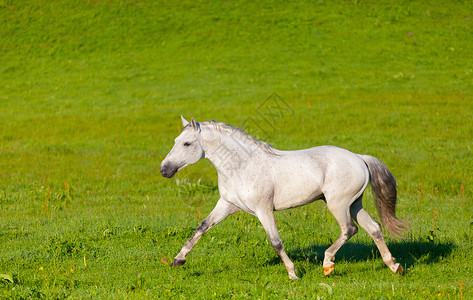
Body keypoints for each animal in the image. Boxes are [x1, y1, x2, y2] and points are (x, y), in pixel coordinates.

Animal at [161, 116, 406, 278]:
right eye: (175, 141)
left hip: (338, 204)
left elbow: (276, 242)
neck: (241, 166)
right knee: (374, 228)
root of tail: (359, 157)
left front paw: (293, 273)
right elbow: (201, 227)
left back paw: (328, 264)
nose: (164, 169)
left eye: (187, 143)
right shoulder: (227, 205)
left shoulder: (263, 210)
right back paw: (394, 266)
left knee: (349, 229)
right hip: (354, 204)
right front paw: (178, 260)